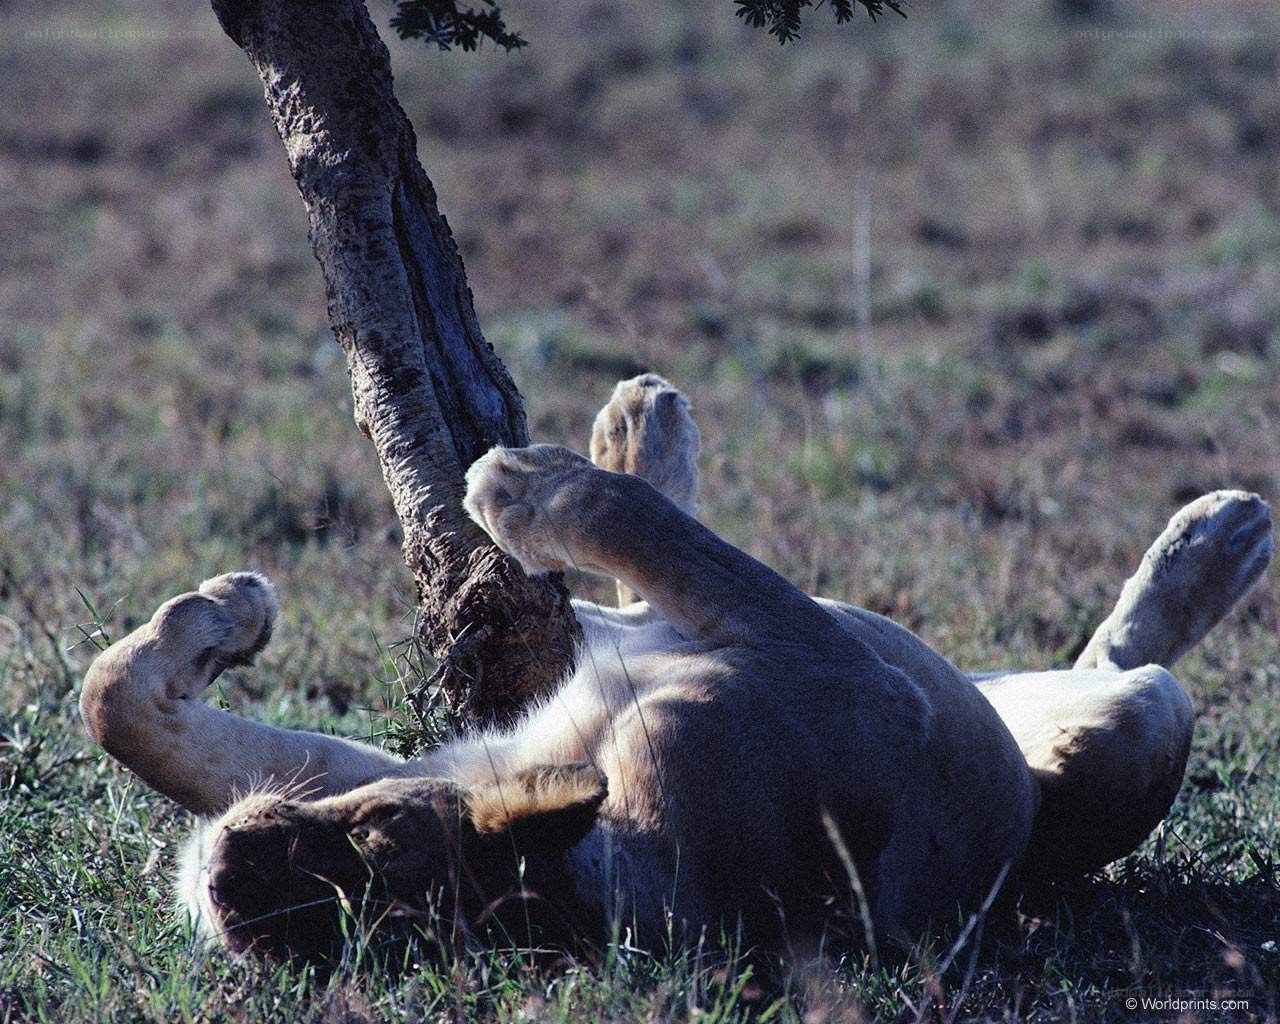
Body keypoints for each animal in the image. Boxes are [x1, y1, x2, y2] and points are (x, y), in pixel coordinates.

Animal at [79, 374, 1272, 962]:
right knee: (1114, 654)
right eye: (326, 947)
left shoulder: (816, 652)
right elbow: (117, 709)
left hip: (1130, 716)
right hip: (1104, 717)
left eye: (379, 840)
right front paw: (230, 613)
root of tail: (1039, 816)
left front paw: (508, 483)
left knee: (1123, 653)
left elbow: (631, 524)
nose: (230, 882)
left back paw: (1223, 533)